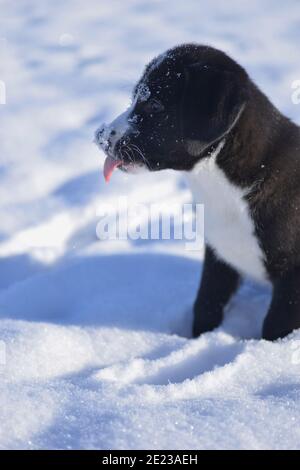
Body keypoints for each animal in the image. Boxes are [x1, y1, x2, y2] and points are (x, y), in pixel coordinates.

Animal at [95, 43, 300, 342]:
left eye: (155, 105)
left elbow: (275, 326)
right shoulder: (218, 256)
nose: (100, 135)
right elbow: (205, 304)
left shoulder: (292, 277)